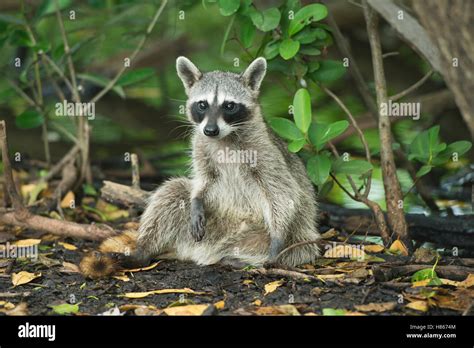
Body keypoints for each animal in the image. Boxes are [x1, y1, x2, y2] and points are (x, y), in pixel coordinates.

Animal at [81, 57, 320, 278]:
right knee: (172, 192)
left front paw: (277, 238)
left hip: (295, 237)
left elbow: (282, 190)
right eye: (202, 104)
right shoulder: (200, 144)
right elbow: (204, 179)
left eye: (229, 105)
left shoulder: (265, 151)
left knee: (292, 248)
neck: (224, 138)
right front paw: (196, 198)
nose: (211, 130)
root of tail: (204, 251)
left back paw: (248, 261)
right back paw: (142, 251)